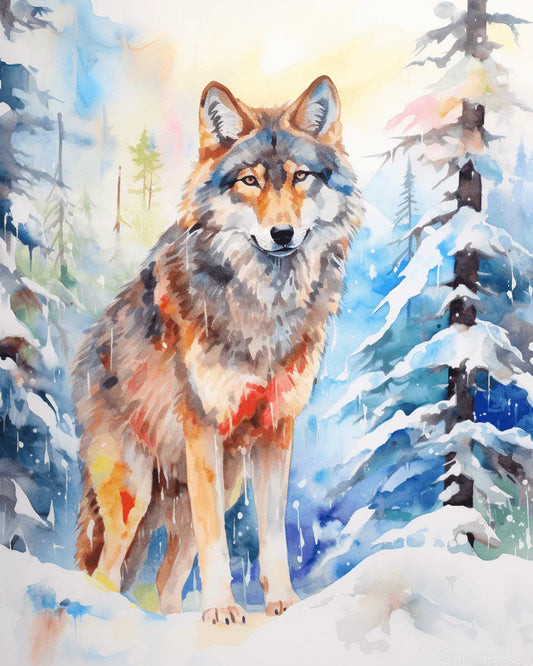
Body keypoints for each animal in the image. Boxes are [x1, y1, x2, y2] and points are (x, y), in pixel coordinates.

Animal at [72, 75, 362, 624]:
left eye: (301, 177)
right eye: (249, 181)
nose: (282, 233)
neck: (265, 303)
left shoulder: (276, 430)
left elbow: (271, 536)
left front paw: (281, 603)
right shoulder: (201, 428)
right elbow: (217, 547)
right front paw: (223, 611)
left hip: (215, 488)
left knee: (163, 581)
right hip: (135, 492)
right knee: (104, 574)